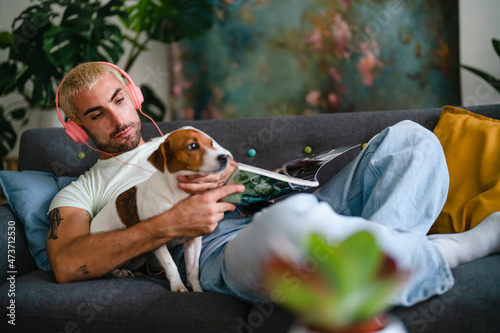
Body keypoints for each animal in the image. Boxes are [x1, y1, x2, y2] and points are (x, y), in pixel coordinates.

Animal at [89, 128, 229, 292]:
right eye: (193, 146)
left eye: (211, 144)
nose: (225, 157)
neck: (178, 194)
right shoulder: (158, 241)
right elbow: (171, 266)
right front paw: (178, 286)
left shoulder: (193, 241)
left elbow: (193, 270)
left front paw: (197, 290)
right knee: (109, 270)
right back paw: (119, 273)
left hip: (140, 257)